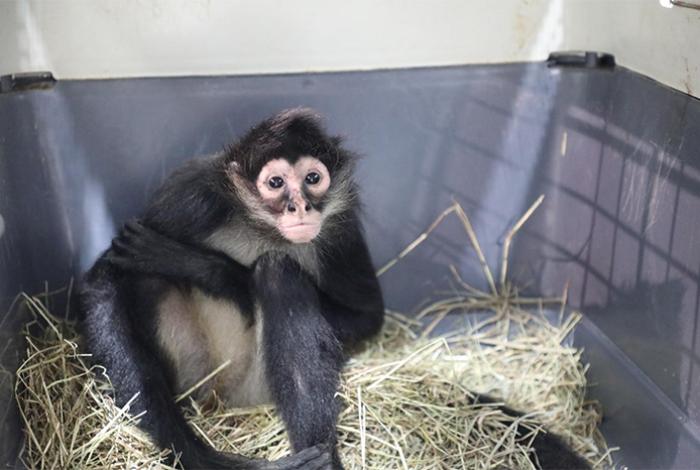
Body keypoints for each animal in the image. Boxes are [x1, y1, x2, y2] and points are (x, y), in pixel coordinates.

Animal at [79, 108, 590, 470]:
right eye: (275, 182)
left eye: (313, 178)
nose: (301, 207)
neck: (263, 230)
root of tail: (224, 399)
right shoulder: (191, 194)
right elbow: (104, 278)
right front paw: (198, 456)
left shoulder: (340, 224)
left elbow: (366, 316)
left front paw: (214, 270)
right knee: (144, 279)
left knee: (279, 275)